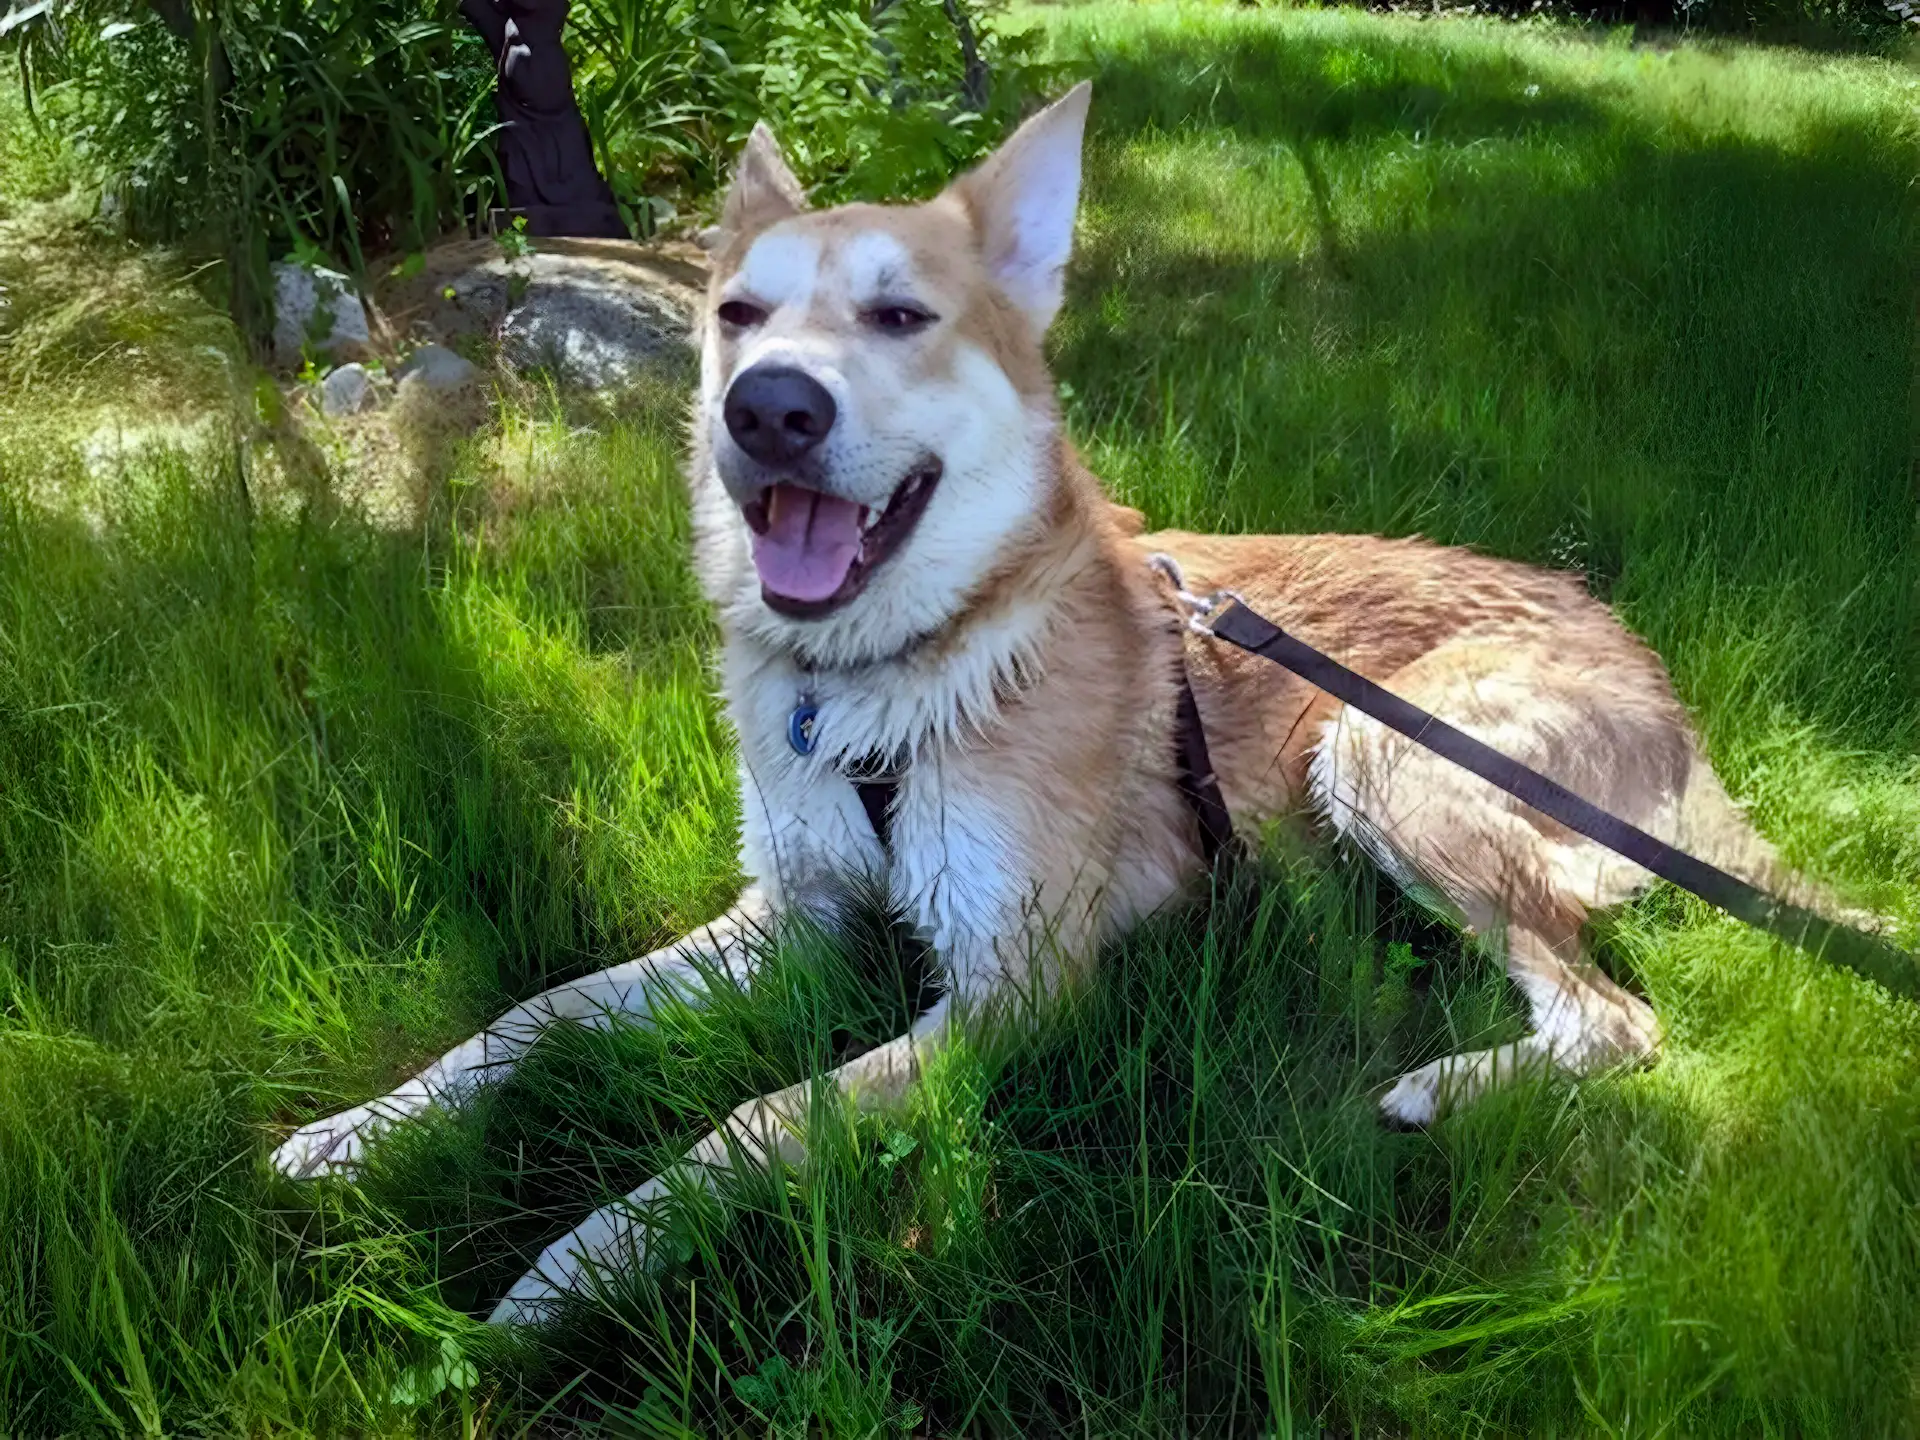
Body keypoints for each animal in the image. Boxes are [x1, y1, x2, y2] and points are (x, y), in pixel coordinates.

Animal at [270, 84, 1843, 1328]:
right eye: (737, 317)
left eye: (901, 317)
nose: (768, 407)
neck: (894, 681)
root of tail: (1658, 680)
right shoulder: (790, 918)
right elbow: (535, 1017)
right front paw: (360, 1133)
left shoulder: (1015, 988)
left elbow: (756, 1118)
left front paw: (576, 1269)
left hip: (1381, 755)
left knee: (1611, 1023)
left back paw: (1434, 1090)